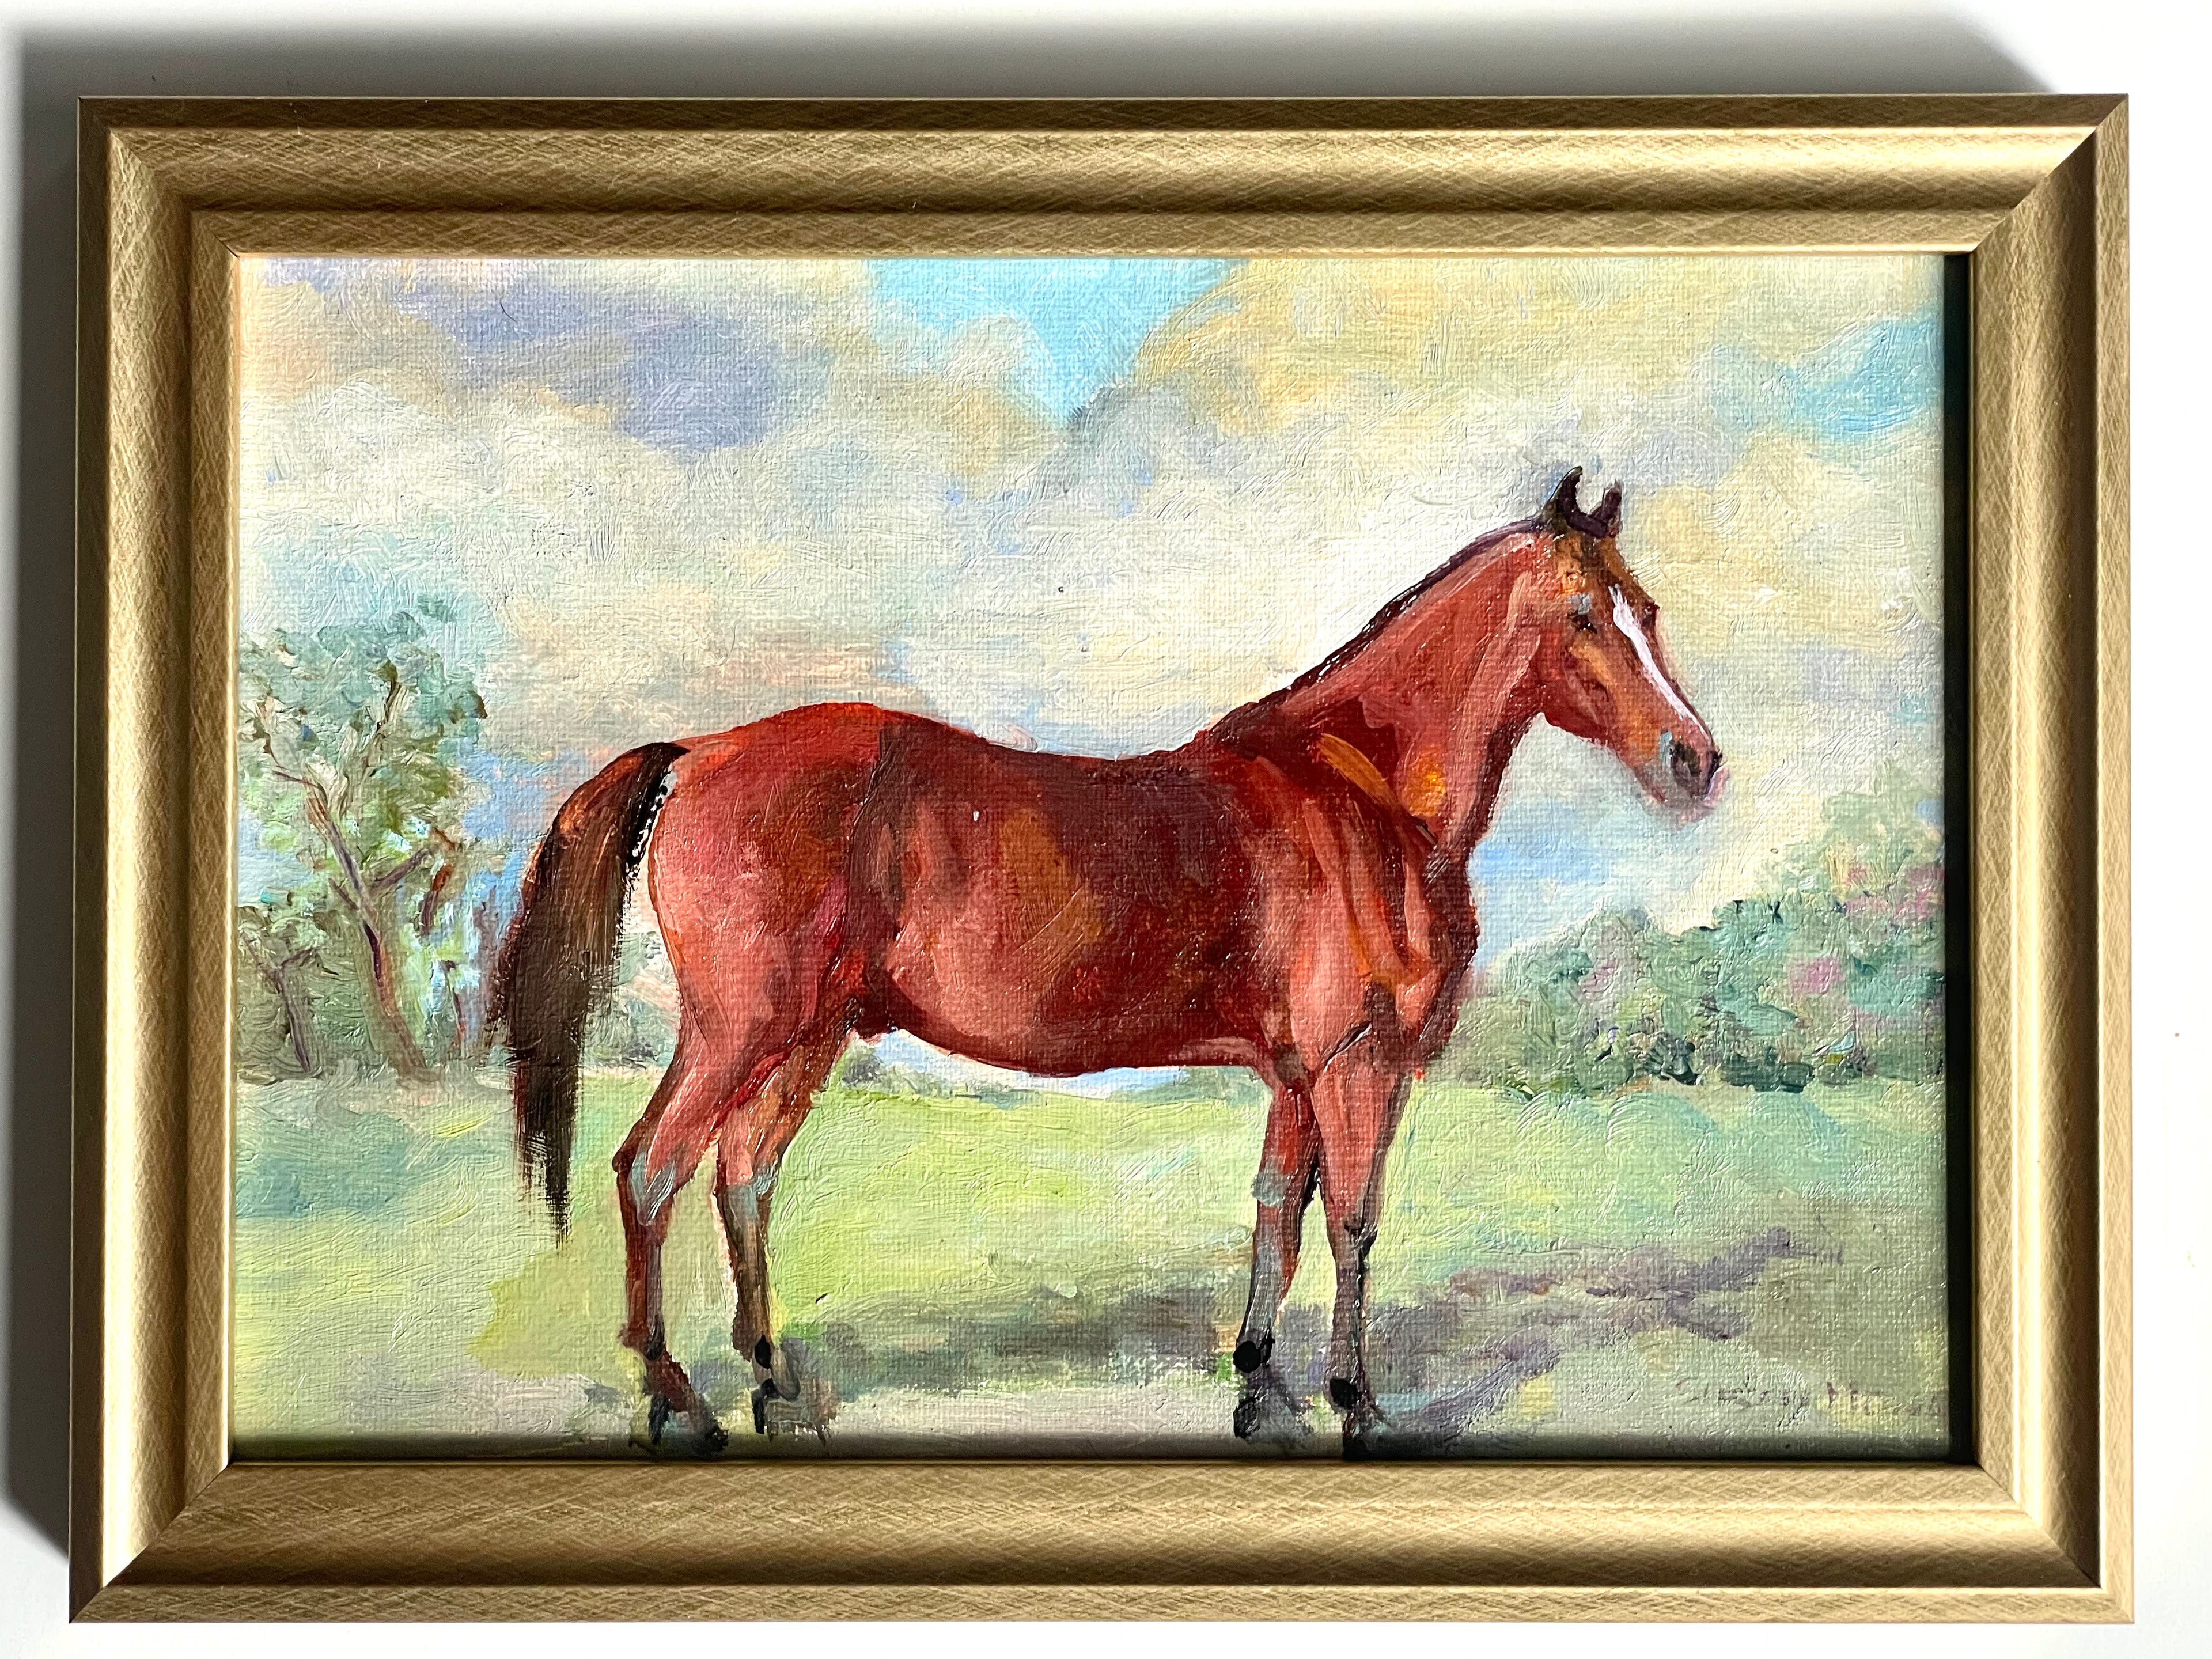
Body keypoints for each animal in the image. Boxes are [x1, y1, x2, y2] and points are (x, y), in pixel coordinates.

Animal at [490, 468, 1723, 1453]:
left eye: (1649, 611)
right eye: (1583, 615)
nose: (1695, 761)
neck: (1360, 793)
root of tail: (699, 752)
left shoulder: (1294, 1075)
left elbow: (1278, 1212)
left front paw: (1260, 1389)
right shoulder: (1356, 1066)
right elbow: (1352, 1223)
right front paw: (1357, 1404)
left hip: (809, 1036)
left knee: (745, 1176)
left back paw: (775, 1385)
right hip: (741, 1029)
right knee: (651, 1172)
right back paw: (676, 1398)